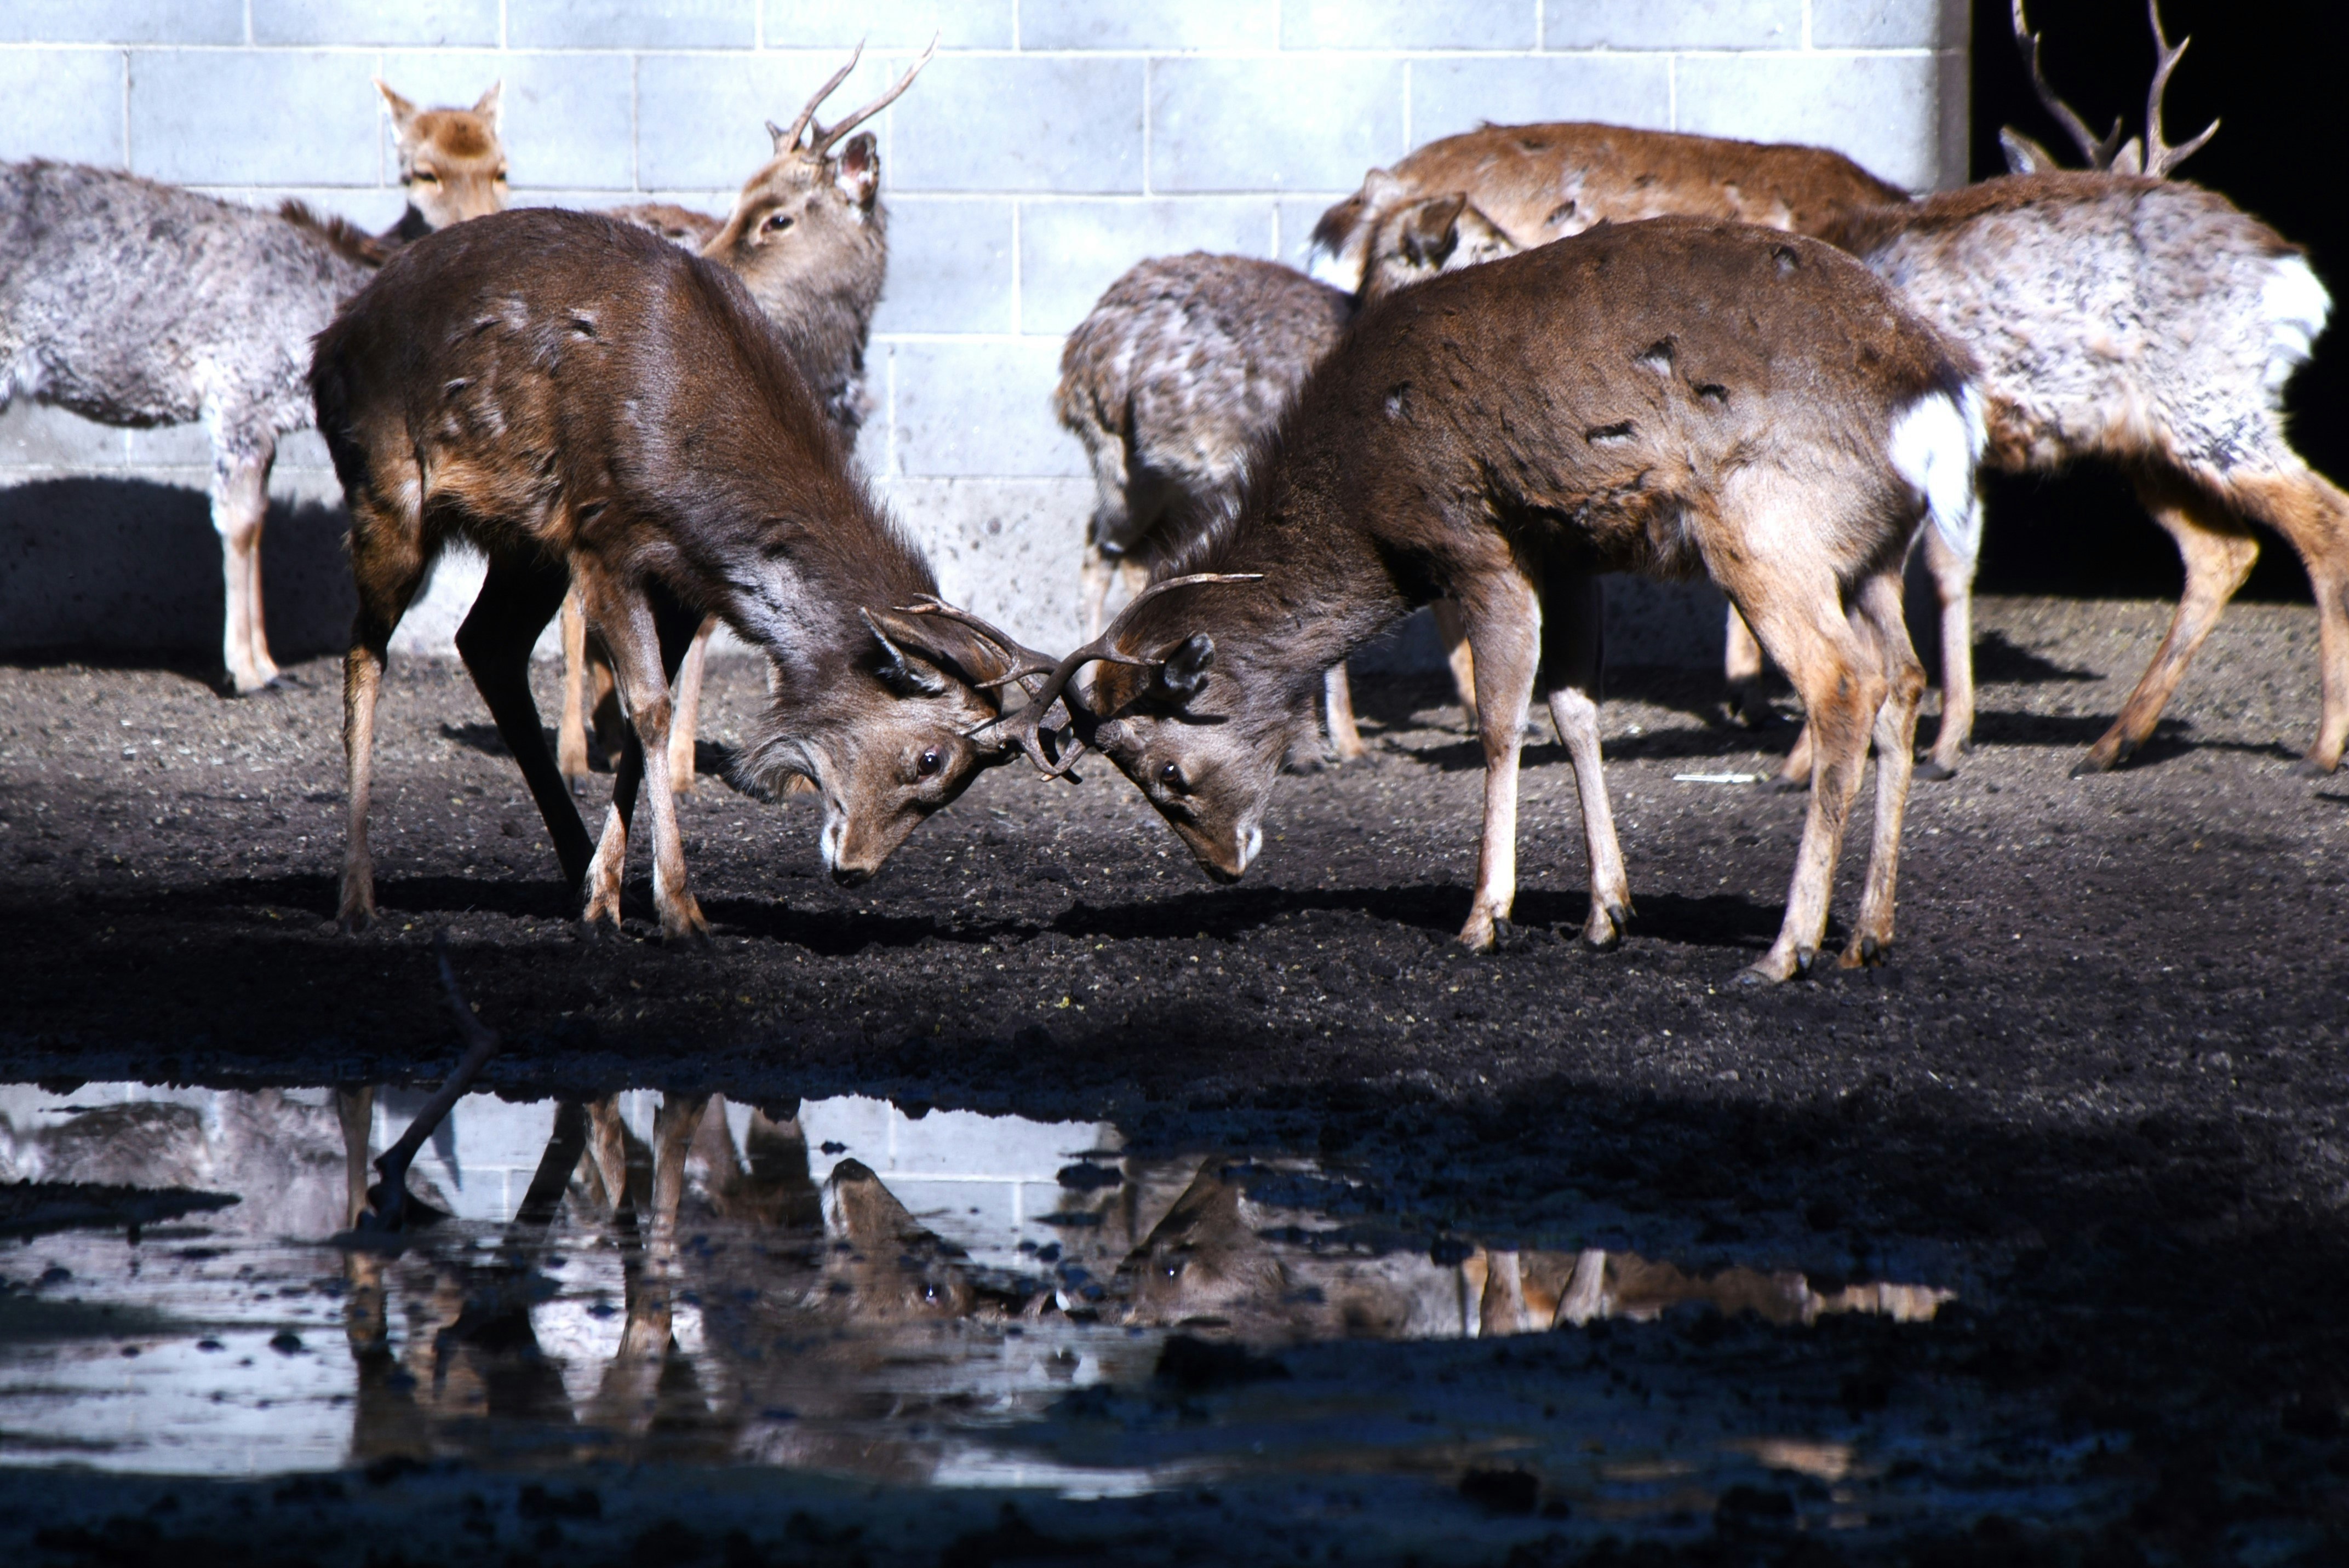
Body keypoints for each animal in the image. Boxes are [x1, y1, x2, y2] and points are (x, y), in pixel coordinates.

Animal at [0, 83, 505, 697]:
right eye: (423, 173)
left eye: (501, 168)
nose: (483, 231)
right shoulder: (239, 392)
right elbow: (237, 523)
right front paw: (245, 670)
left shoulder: (265, 415)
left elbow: (259, 519)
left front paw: (267, 660)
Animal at [310, 205, 1048, 941]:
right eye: (931, 758)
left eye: (958, 783)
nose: (856, 870)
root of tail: (327, 346)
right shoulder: (604, 535)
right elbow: (651, 709)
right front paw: (680, 908)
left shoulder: (686, 583)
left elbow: (645, 721)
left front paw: (606, 897)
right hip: (386, 489)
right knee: (366, 650)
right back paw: (357, 894)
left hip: (524, 545)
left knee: (486, 642)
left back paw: (572, 864)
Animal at [1057, 194, 1519, 764]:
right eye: (1483, 243)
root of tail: (1074, 359)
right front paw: (1340, 745)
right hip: (1119, 463)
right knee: (1098, 551)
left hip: (1176, 488)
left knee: (1141, 562)